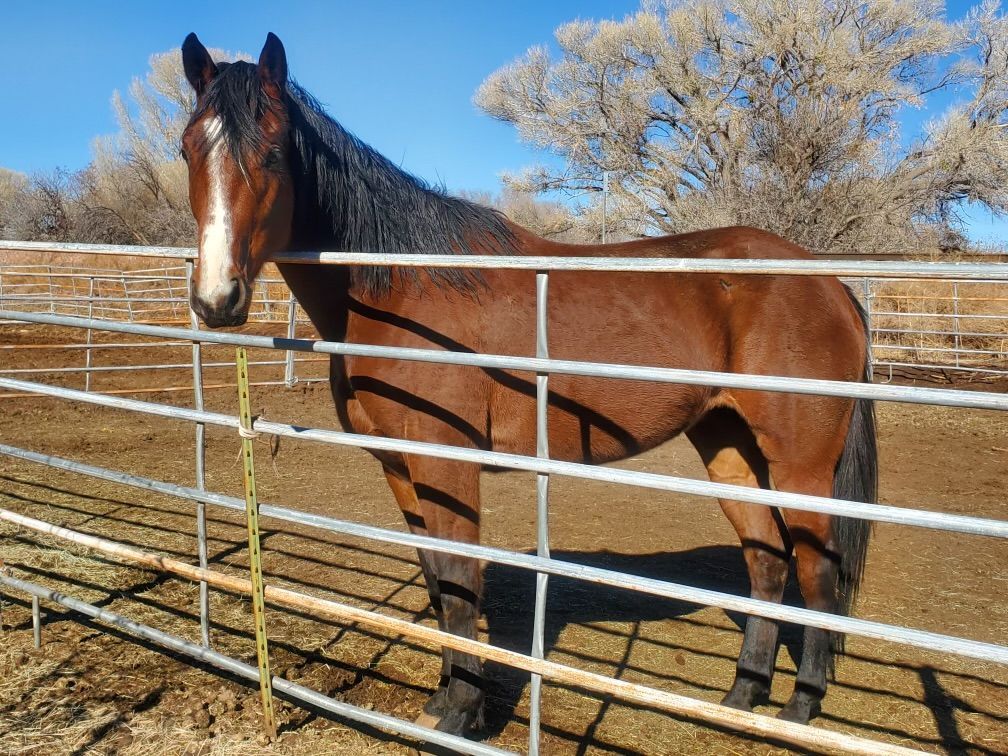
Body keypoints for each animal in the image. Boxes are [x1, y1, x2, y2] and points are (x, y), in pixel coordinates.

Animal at [179, 32, 877, 737]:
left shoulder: (447, 464)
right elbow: (438, 584)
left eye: (271, 151)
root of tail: (831, 286)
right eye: (187, 149)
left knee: (817, 574)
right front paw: (444, 698)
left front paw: (462, 713)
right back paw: (742, 697)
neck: (399, 286)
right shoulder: (400, 466)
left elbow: (461, 582)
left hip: (800, 465)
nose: (216, 299)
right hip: (727, 444)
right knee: (767, 563)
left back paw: (801, 708)